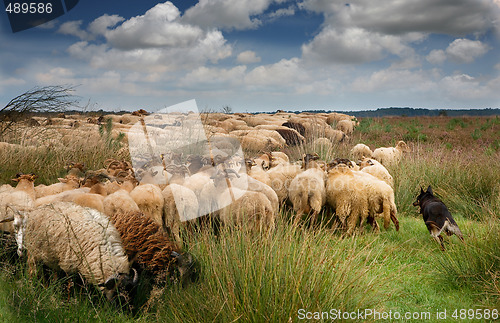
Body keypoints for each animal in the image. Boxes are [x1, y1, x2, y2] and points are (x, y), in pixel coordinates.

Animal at [0, 204, 138, 302]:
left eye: (132, 292)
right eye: (117, 294)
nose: (126, 313)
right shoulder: (69, 265)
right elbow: (70, 286)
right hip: (35, 253)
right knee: (33, 272)